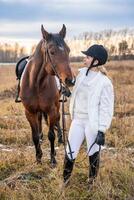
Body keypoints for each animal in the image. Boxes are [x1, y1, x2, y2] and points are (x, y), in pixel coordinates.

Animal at [19, 24, 74, 166]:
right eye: (52, 52)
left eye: (68, 50)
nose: (70, 80)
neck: (36, 83)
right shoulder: (30, 112)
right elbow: (34, 135)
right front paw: (38, 157)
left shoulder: (52, 110)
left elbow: (51, 135)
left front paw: (53, 159)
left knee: (58, 121)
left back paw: (60, 138)